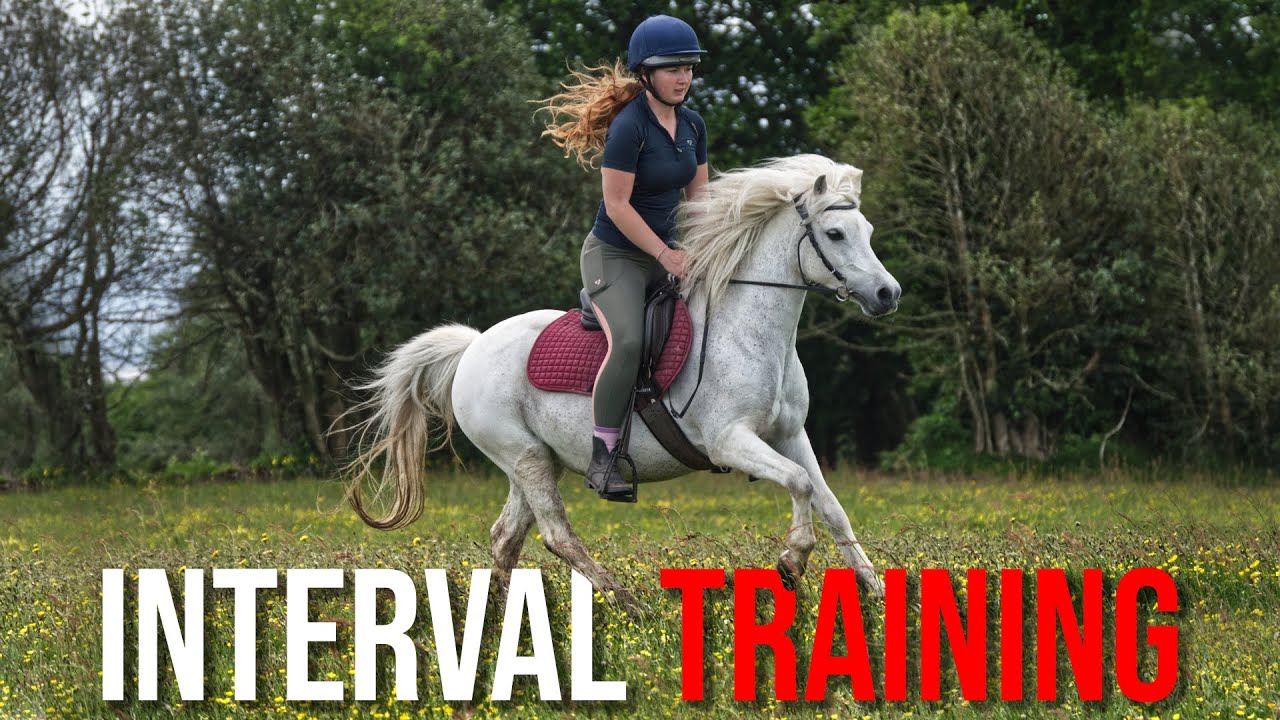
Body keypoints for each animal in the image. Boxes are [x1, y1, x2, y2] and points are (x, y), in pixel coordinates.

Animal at [344, 154, 901, 611]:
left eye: (867, 229)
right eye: (835, 234)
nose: (887, 293)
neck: (749, 330)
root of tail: (474, 347)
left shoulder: (790, 434)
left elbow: (831, 505)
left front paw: (874, 590)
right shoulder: (729, 441)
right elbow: (800, 483)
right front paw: (791, 562)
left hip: (533, 460)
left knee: (507, 535)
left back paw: (498, 618)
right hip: (524, 456)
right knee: (556, 534)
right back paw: (626, 602)